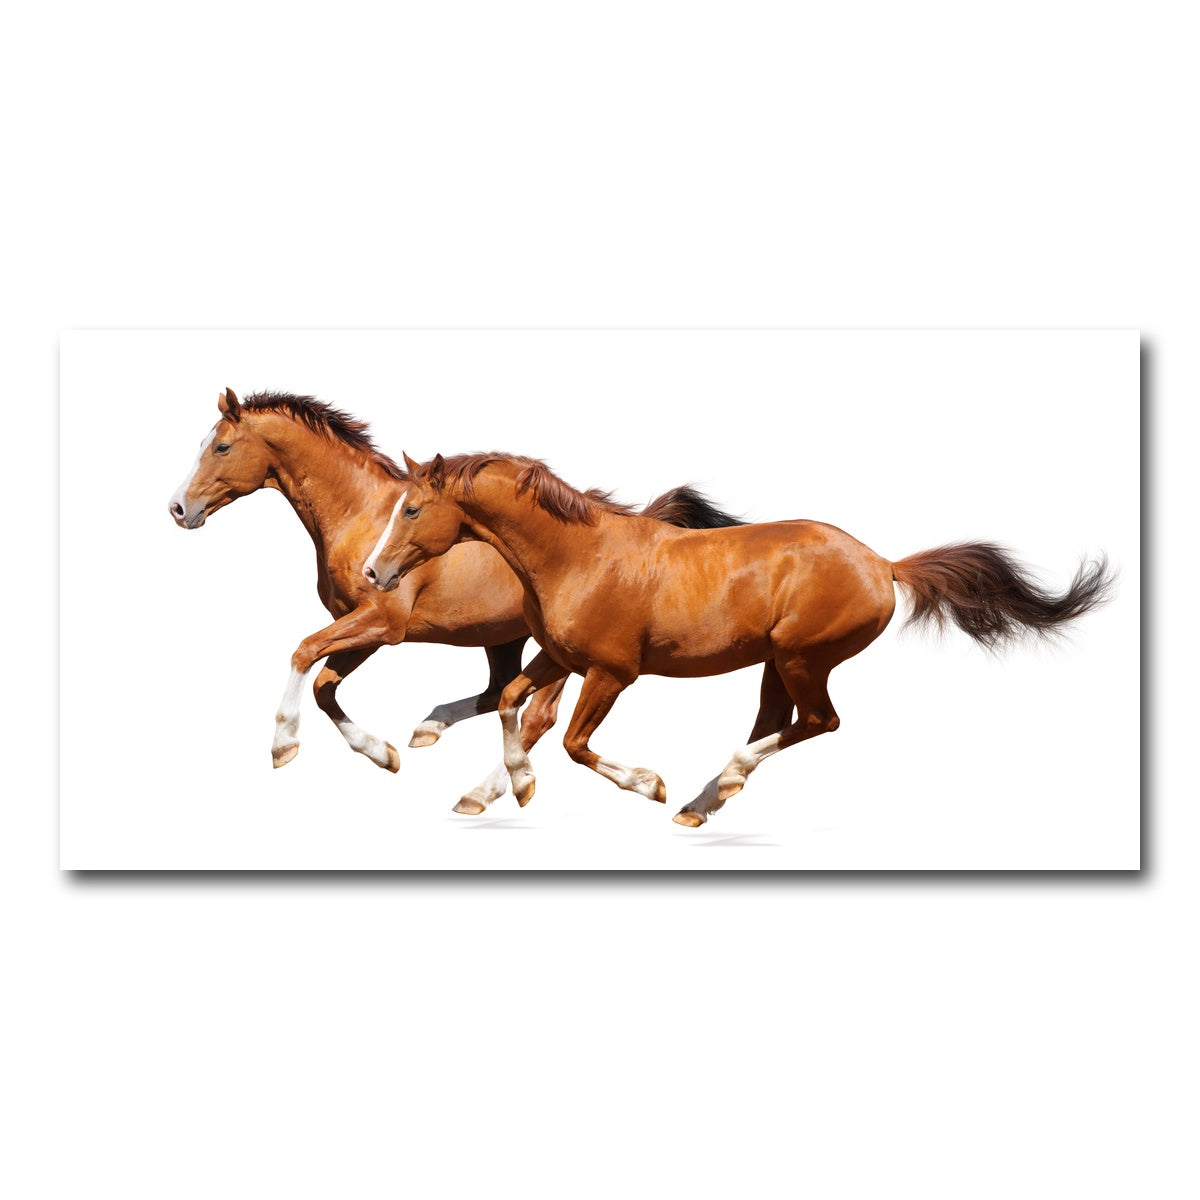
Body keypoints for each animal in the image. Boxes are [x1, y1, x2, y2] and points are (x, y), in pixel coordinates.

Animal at [168, 390, 742, 797]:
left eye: (220, 447)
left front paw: (283, 745)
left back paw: (487, 789)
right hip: (504, 639)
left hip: (562, 653)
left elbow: (304, 653)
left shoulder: (382, 623)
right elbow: (325, 686)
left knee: (537, 715)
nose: (177, 508)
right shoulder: (367, 628)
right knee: (499, 693)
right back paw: (433, 731)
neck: (362, 514)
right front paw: (384, 754)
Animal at [362, 451, 1114, 826]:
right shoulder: (559, 656)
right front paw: (513, 787)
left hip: (804, 657)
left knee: (819, 722)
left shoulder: (611, 671)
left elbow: (574, 742)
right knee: (780, 722)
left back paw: (710, 786)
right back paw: (703, 803)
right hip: (776, 664)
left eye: (414, 508)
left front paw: (649, 785)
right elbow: (511, 702)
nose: (374, 572)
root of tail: (883, 564)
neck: (577, 556)